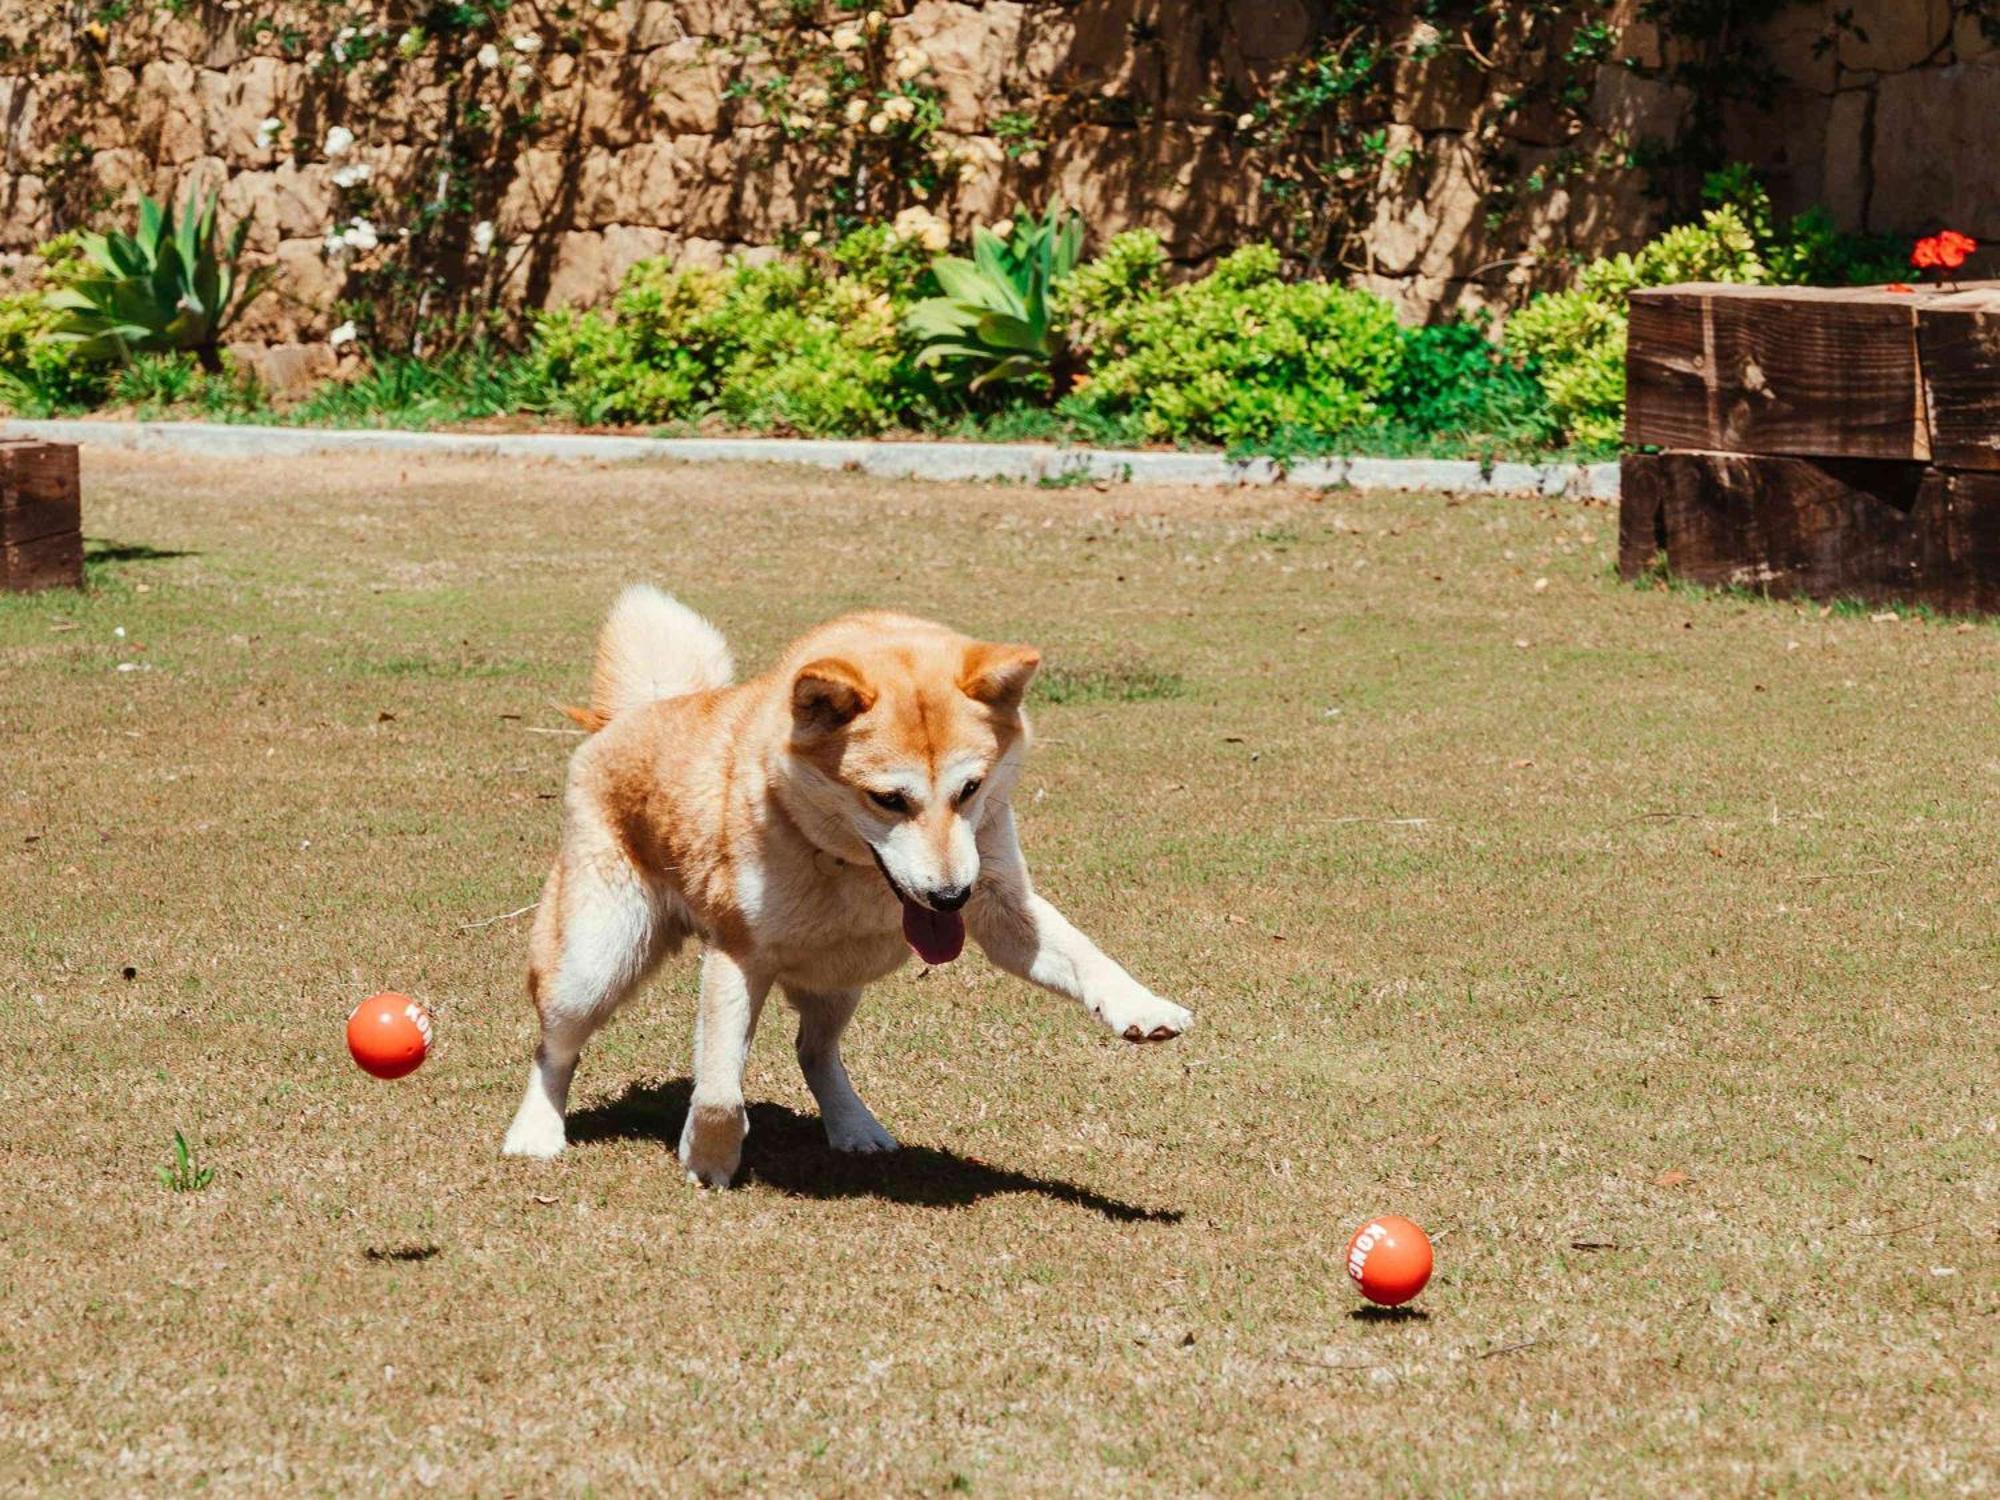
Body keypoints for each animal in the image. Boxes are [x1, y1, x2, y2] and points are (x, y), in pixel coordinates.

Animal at [504, 588, 1184, 1184]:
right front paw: (709, 1157)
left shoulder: (1000, 903)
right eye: (888, 799)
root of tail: (632, 715)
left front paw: (1142, 1007)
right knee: (553, 1051)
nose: (949, 898)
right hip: (592, 963)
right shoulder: (738, 954)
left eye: (970, 789)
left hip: (838, 976)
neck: (849, 868)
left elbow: (1088, 957)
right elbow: (720, 1086)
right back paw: (536, 1131)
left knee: (815, 1050)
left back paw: (855, 1124)